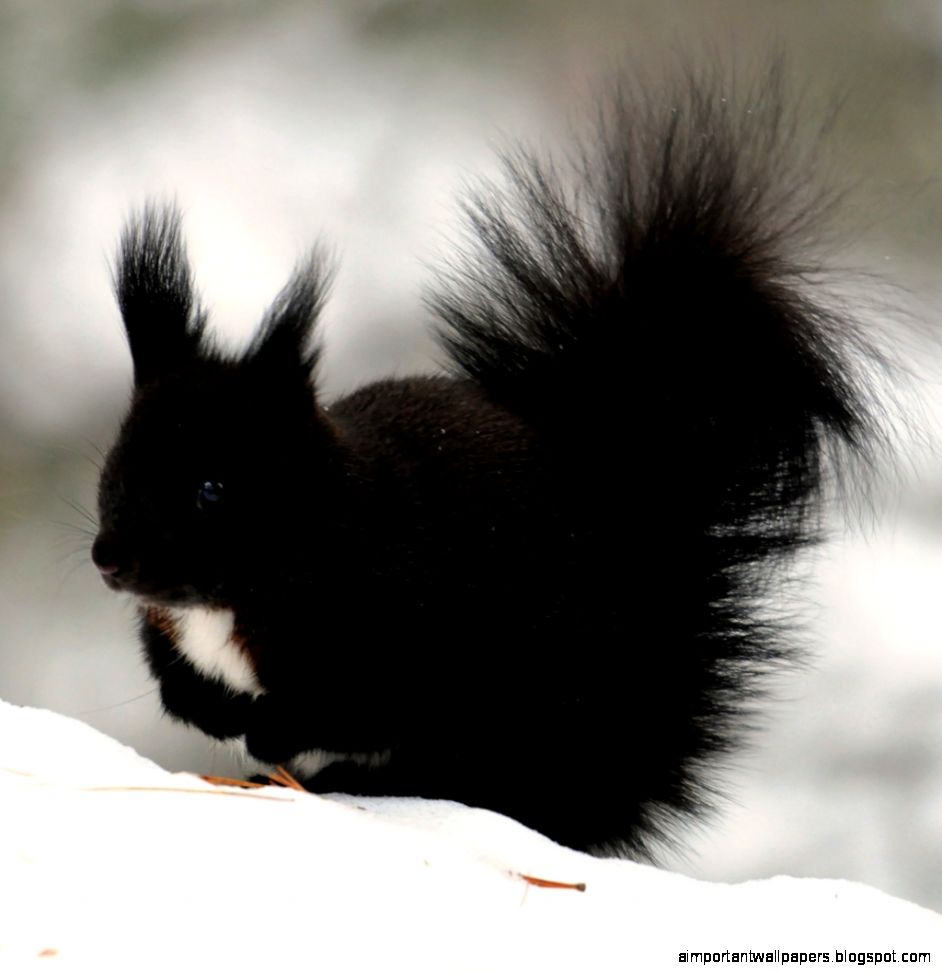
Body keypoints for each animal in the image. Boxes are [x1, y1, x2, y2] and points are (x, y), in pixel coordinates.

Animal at [90, 67, 879, 858]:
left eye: (212, 488)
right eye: (115, 470)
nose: (109, 560)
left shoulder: (394, 624)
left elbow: (356, 705)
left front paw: (268, 729)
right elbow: (178, 682)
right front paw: (205, 708)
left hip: (531, 711)